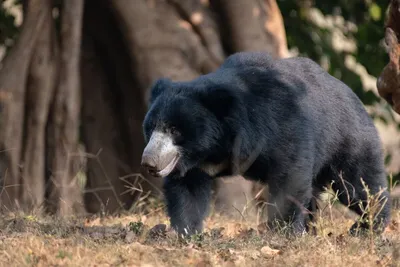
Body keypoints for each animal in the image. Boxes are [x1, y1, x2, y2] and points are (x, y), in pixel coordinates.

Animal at [140, 51, 390, 237]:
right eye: (150, 128)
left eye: (174, 130)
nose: (149, 162)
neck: (215, 147)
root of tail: (352, 94)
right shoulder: (192, 162)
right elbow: (187, 190)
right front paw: (185, 232)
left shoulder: (280, 123)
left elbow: (289, 175)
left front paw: (282, 232)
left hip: (346, 141)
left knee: (358, 184)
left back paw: (367, 226)